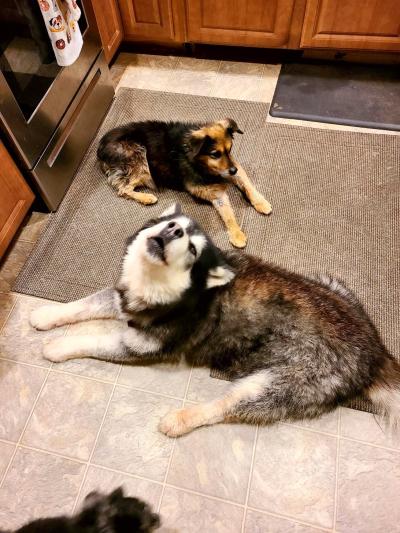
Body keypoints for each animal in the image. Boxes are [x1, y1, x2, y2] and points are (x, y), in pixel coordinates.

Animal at [31, 205, 400, 436]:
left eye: (193, 249)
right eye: (173, 226)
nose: (174, 229)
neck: (155, 287)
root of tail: (376, 352)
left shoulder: (141, 345)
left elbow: (93, 339)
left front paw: (58, 347)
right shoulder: (122, 297)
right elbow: (84, 304)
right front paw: (46, 314)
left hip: (279, 382)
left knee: (227, 405)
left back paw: (179, 419)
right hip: (332, 283)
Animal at [97, 117, 272, 246]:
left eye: (229, 150)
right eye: (215, 154)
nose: (233, 170)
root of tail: (100, 149)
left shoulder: (233, 166)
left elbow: (247, 183)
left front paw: (260, 202)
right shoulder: (211, 190)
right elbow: (227, 213)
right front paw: (237, 234)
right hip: (139, 156)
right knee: (124, 189)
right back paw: (147, 198)